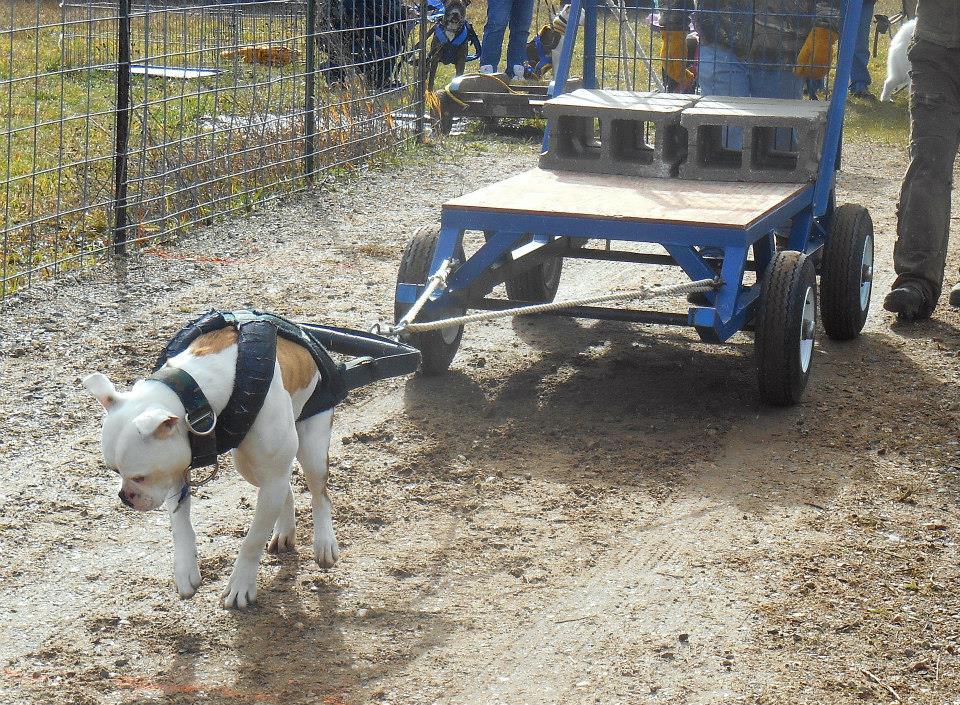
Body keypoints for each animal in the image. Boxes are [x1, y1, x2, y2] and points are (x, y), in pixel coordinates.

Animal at [83, 328, 338, 608]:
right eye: (115, 472)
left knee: (319, 494)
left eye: (140, 477)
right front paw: (185, 570)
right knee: (285, 485)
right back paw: (284, 530)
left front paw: (240, 585)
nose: (124, 497)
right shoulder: (175, 473)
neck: (197, 394)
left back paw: (324, 542)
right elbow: (180, 526)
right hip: (248, 465)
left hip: (311, 448)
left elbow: (253, 539)